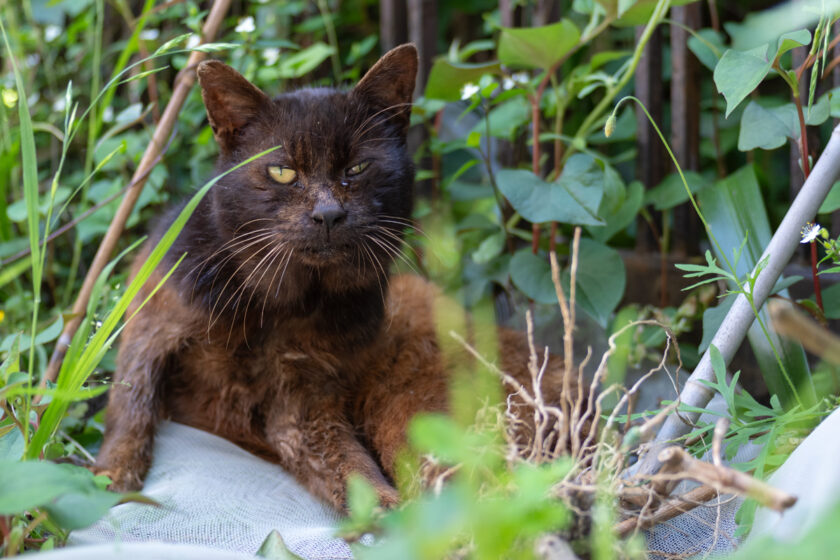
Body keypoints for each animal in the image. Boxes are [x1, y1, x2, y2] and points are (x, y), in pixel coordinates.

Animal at [98, 44, 572, 512]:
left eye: (358, 168)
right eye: (283, 171)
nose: (328, 214)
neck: (274, 301)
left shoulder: (302, 393)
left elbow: (344, 464)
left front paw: (383, 512)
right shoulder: (150, 324)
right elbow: (130, 400)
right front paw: (110, 478)